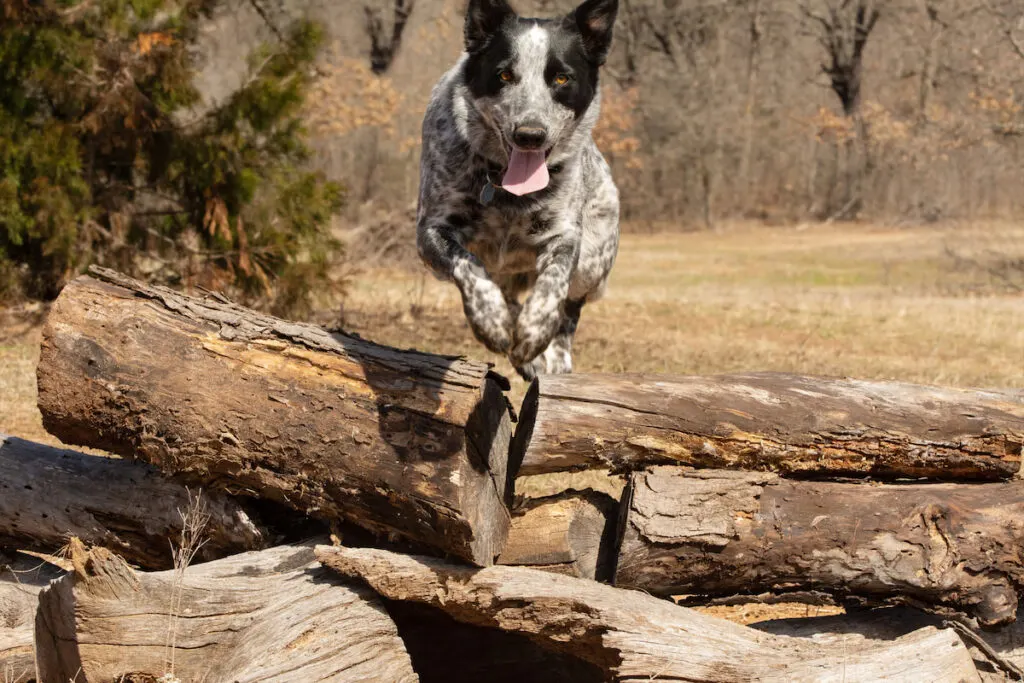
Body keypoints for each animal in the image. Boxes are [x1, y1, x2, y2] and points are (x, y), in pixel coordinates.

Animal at [413, 0, 614, 378]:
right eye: (504, 75)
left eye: (562, 77)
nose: (530, 135)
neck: (506, 190)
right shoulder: (431, 231)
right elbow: (469, 265)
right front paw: (491, 321)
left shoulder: (564, 236)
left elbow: (553, 283)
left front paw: (536, 333)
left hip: (594, 261)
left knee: (571, 309)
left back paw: (552, 356)